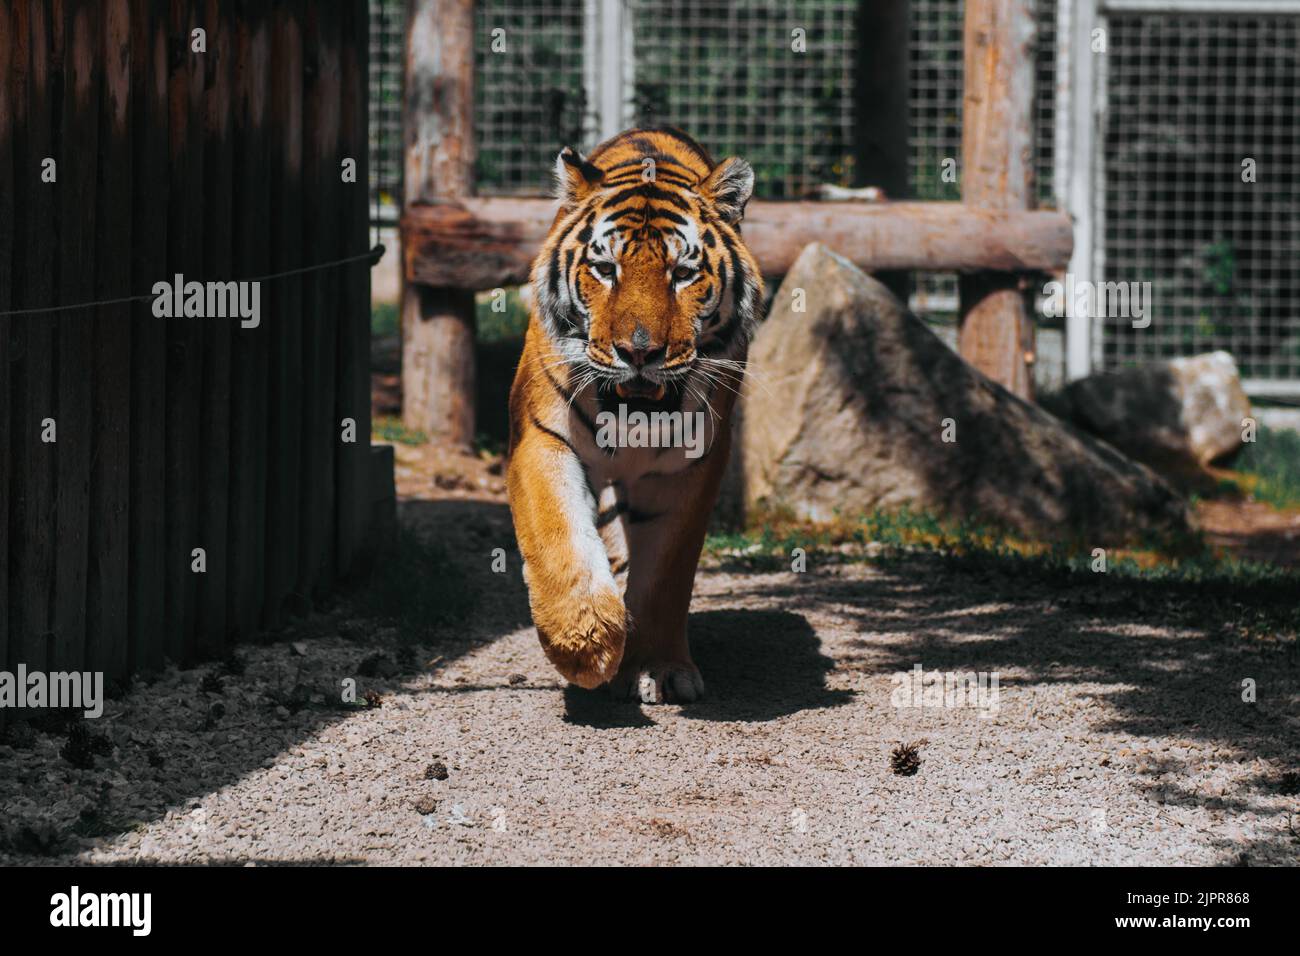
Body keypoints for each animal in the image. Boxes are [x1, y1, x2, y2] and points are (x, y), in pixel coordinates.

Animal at [506, 127, 763, 703]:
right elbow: (558, 535)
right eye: (605, 269)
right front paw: (584, 642)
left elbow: (666, 577)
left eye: (683, 274)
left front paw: (657, 667)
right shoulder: (542, 438)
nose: (639, 351)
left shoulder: (690, 468)